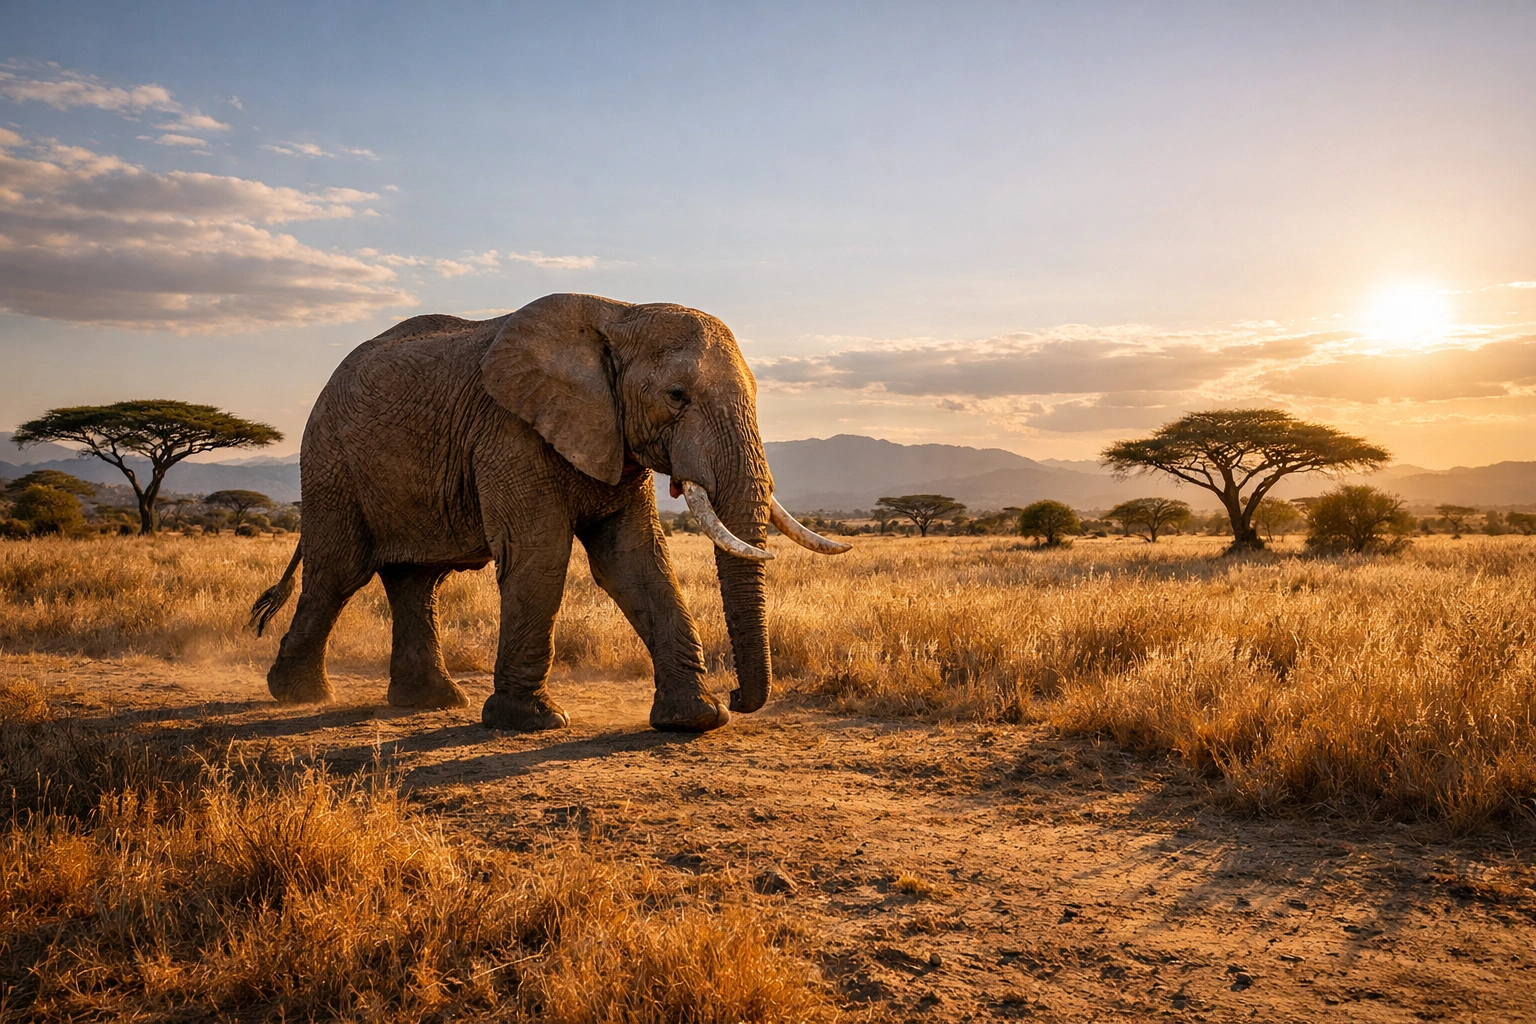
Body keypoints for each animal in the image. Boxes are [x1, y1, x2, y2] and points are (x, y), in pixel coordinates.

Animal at [249, 293, 849, 733]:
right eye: (677, 395)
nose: (739, 693)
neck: (620, 315)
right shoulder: (508, 432)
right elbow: (540, 552)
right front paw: (533, 722)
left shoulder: (612, 439)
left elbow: (634, 560)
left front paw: (696, 719)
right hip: (330, 463)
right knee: (338, 572)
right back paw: (299, 695)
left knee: (417, 580)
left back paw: (431, 704)